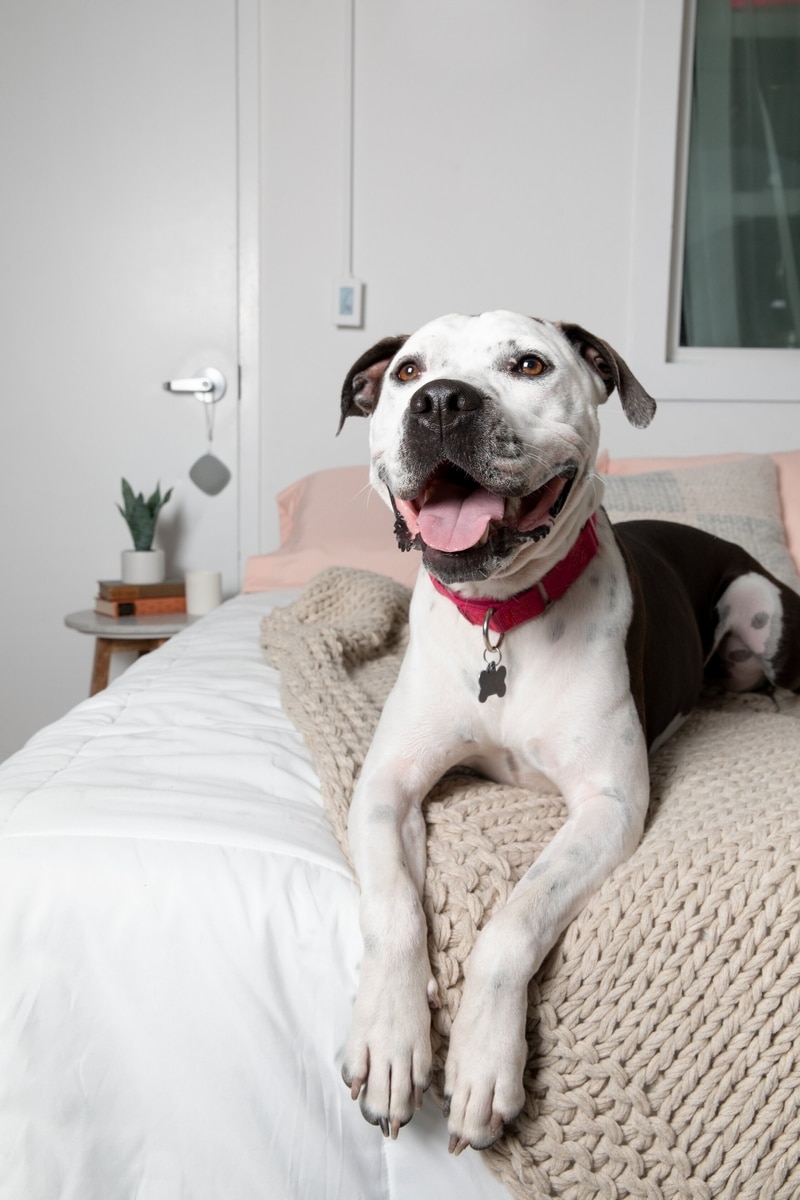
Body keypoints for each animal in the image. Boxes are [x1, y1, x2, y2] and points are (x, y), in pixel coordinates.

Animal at [335, 310, 800, 1154]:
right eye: (408, 371)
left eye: (529, 365)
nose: (442, 401)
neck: (501, 615)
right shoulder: (387, 785)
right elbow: (393, 907)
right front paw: (389, 1038)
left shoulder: (608, 809)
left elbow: (515, 921)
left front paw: (484, 1064)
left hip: (756, 602)